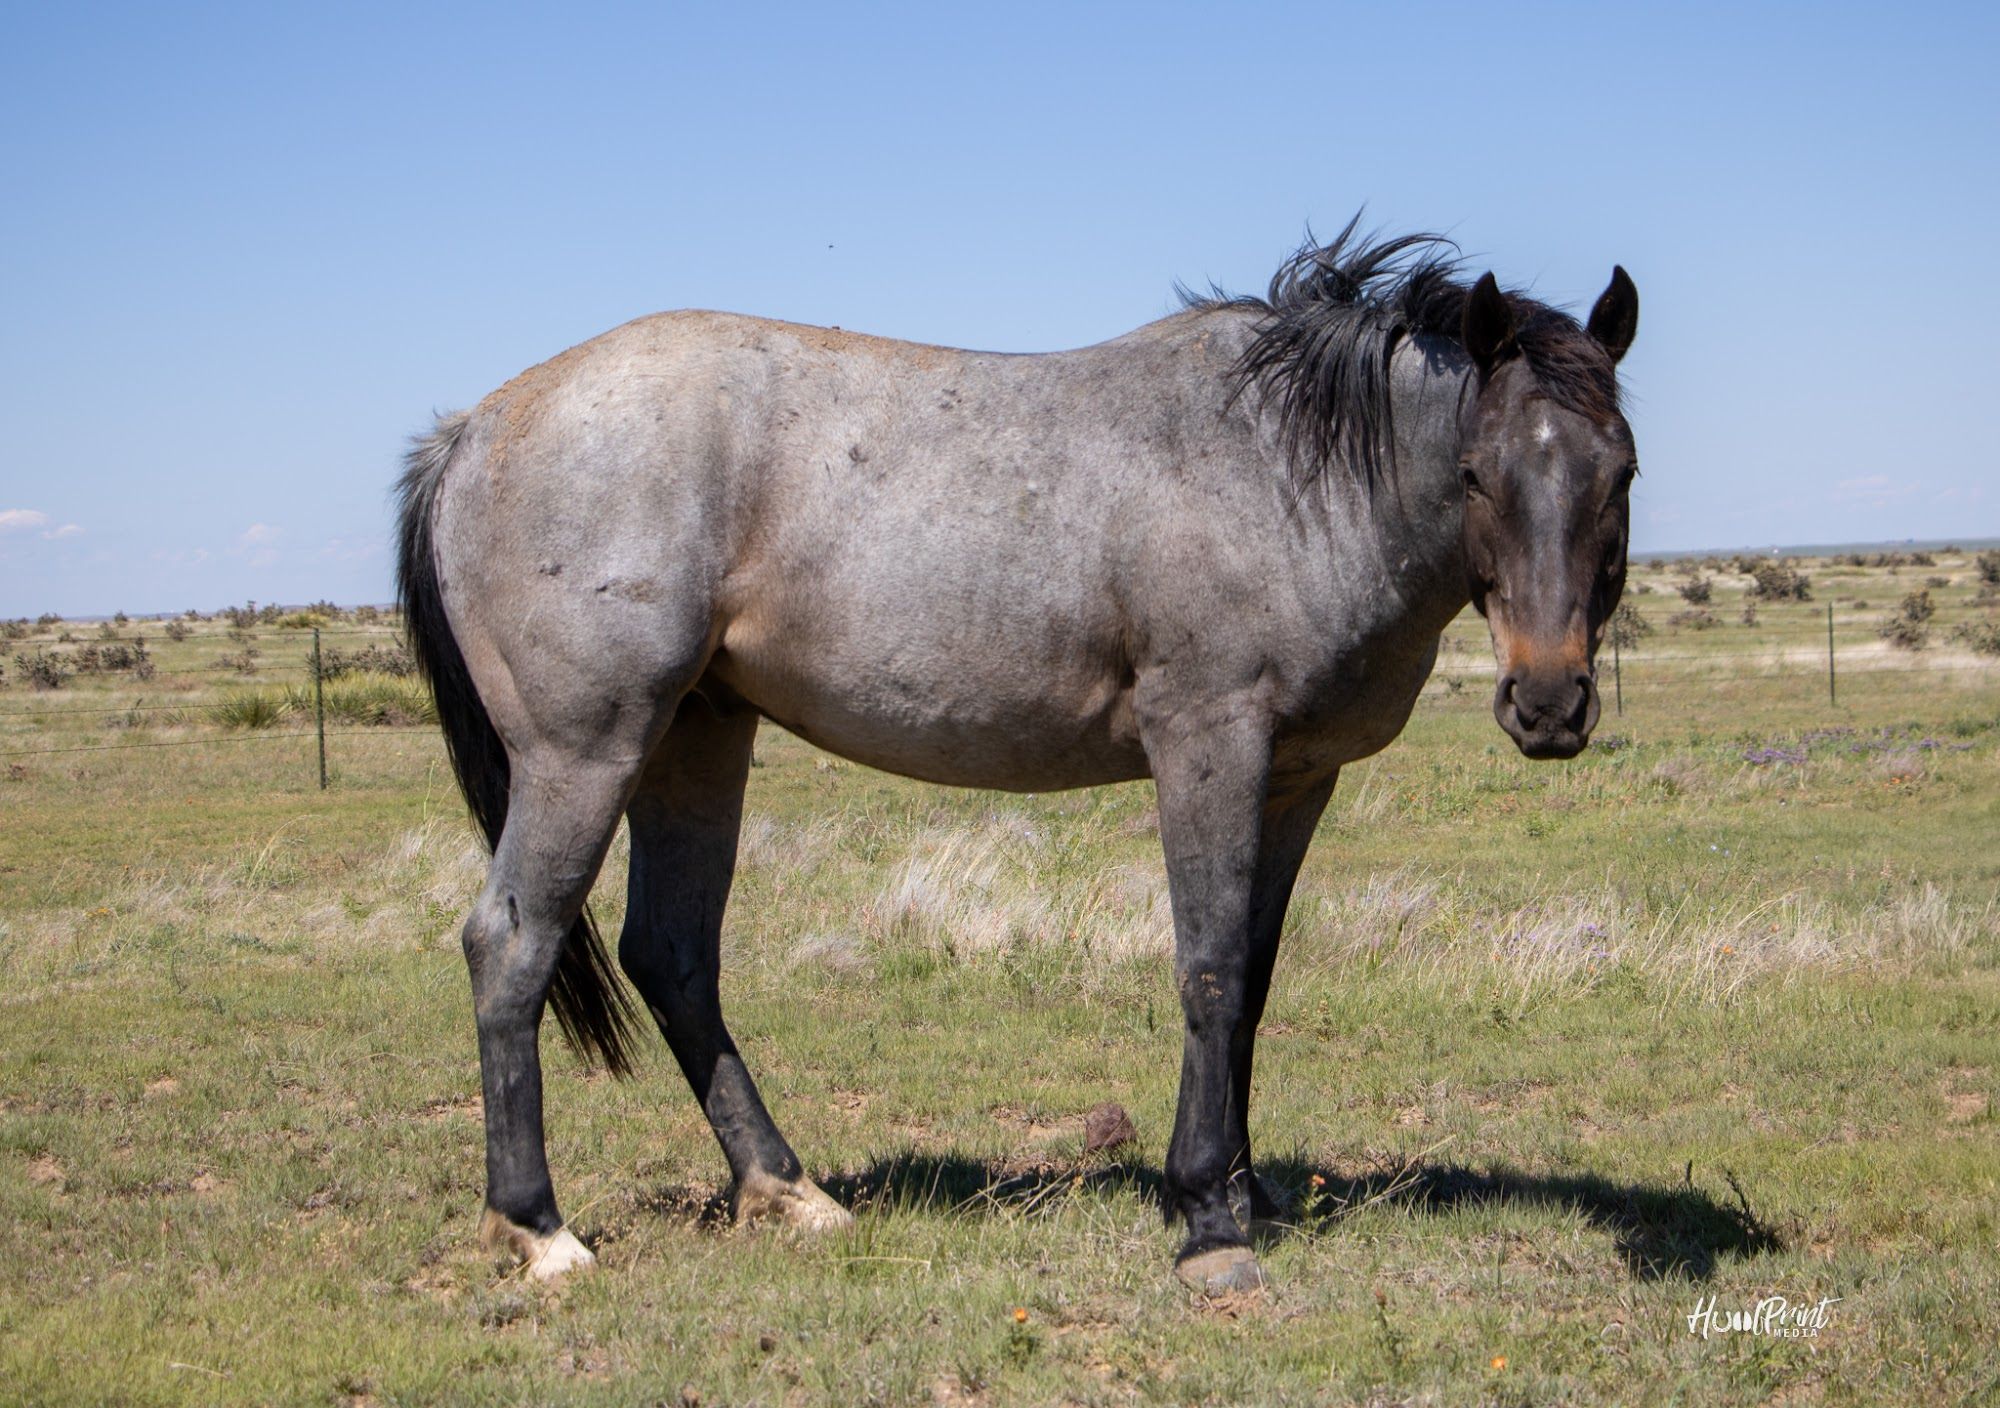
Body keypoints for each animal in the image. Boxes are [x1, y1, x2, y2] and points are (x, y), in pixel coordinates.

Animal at [396, 219, 1639, 1293]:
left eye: (1616, 470)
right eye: (1475, 471)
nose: (1546, 702)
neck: (1289, 470)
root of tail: (472, 428)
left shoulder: (1294, 778)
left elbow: (1250, 976)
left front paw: (1247, 1189)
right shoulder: (1208, 745)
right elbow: (1206, 968)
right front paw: (1207, 1219)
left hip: (696, 738)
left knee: (671, 955)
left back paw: (786, 1190)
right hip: (585, 752)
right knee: (510, 944)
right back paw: (539, 1227)